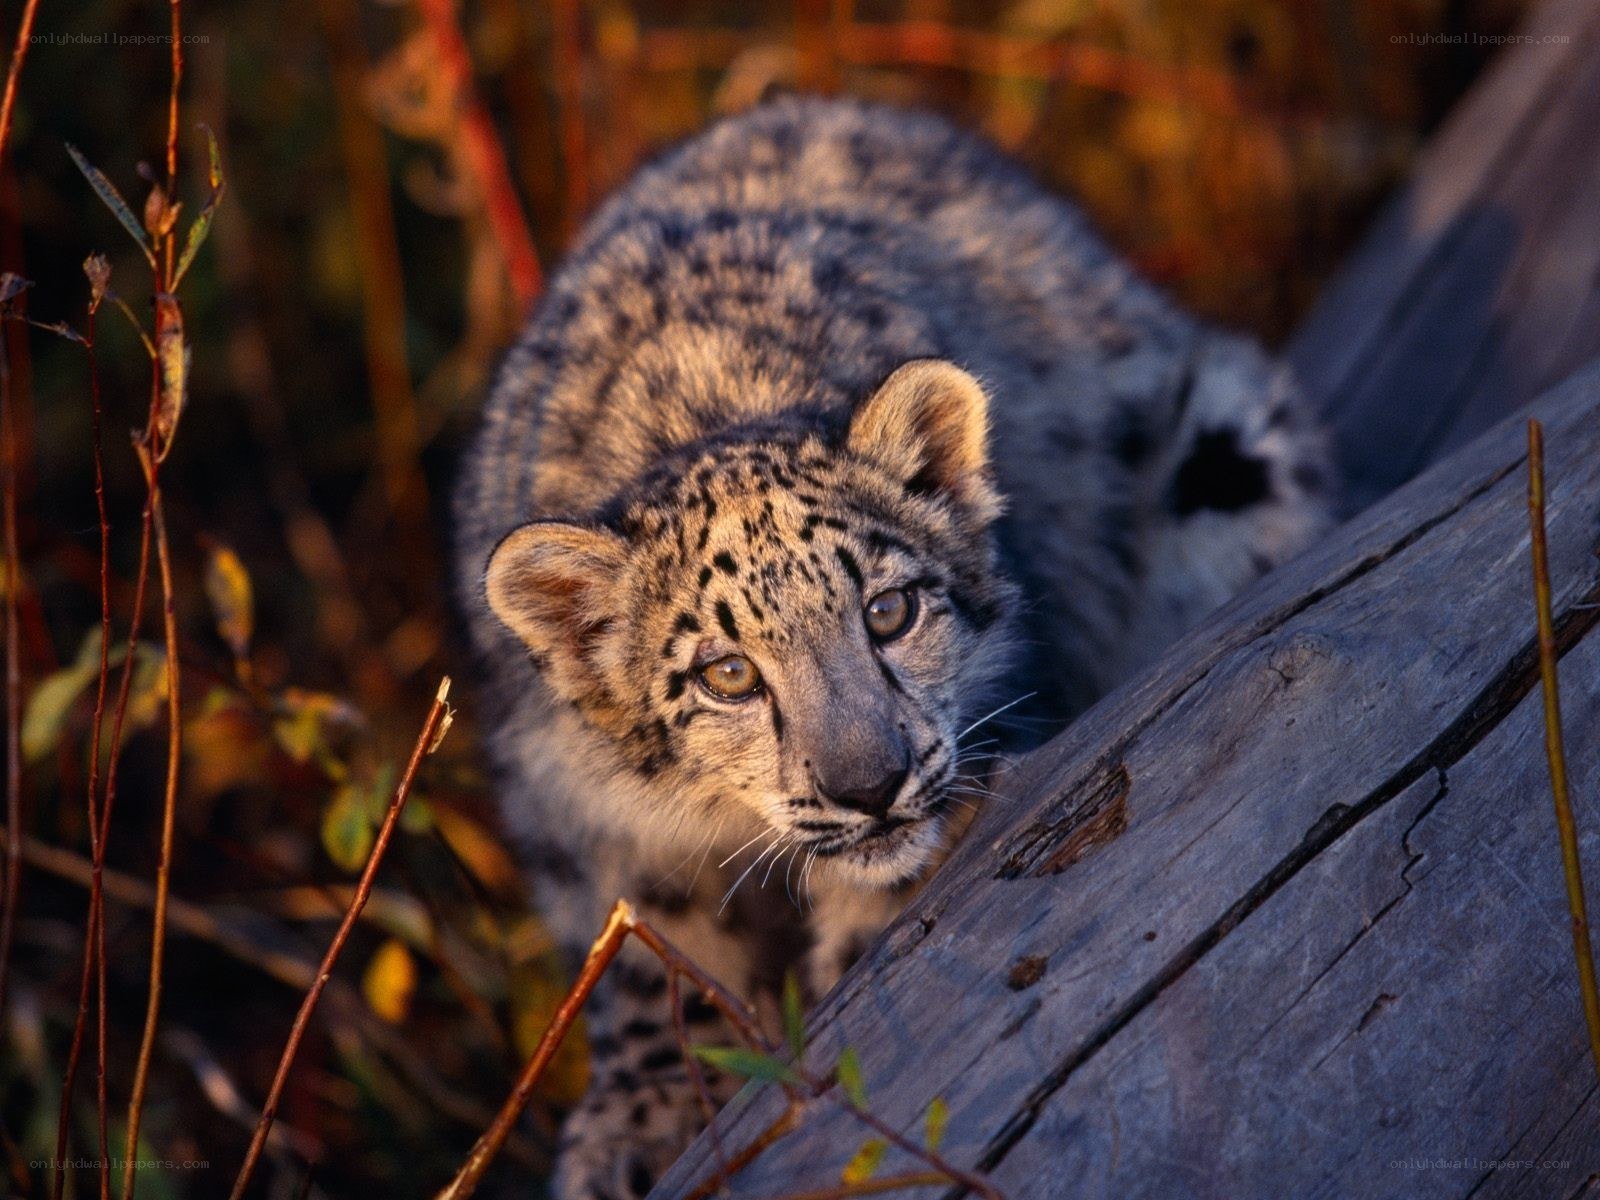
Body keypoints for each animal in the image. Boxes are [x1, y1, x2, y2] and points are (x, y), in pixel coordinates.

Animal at [452, 93, 1332, 1199]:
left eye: (887, 612)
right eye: (727, 675)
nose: (869, 786)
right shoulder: (572, 809)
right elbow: (652, 946)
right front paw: (632, 1127)